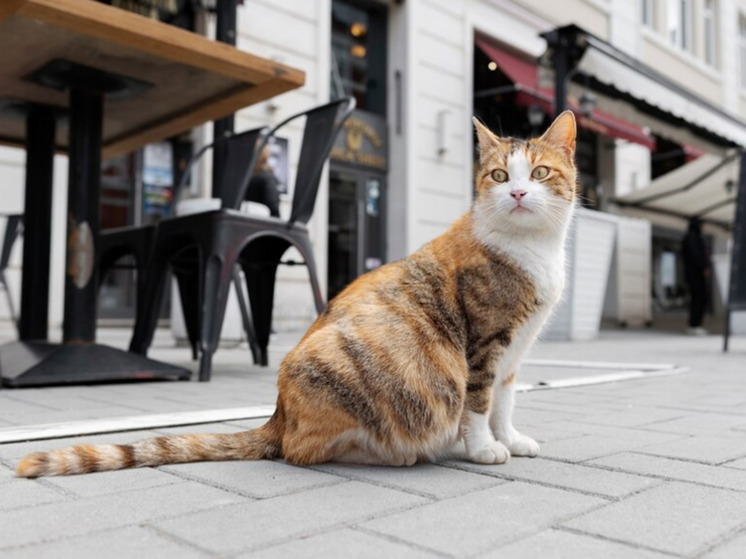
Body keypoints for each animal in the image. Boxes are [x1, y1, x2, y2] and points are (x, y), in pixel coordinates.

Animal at [16, 111, 576, 480]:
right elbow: (477, 404)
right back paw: (393, 452)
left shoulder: (513, 352)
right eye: (499, 175)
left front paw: (511, 439)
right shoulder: (484, 345)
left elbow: (504, 403)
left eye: (539, 173)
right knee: (300, 450)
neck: (532, 249)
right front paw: (483, 448)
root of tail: (278, 412)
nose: (518, 193)